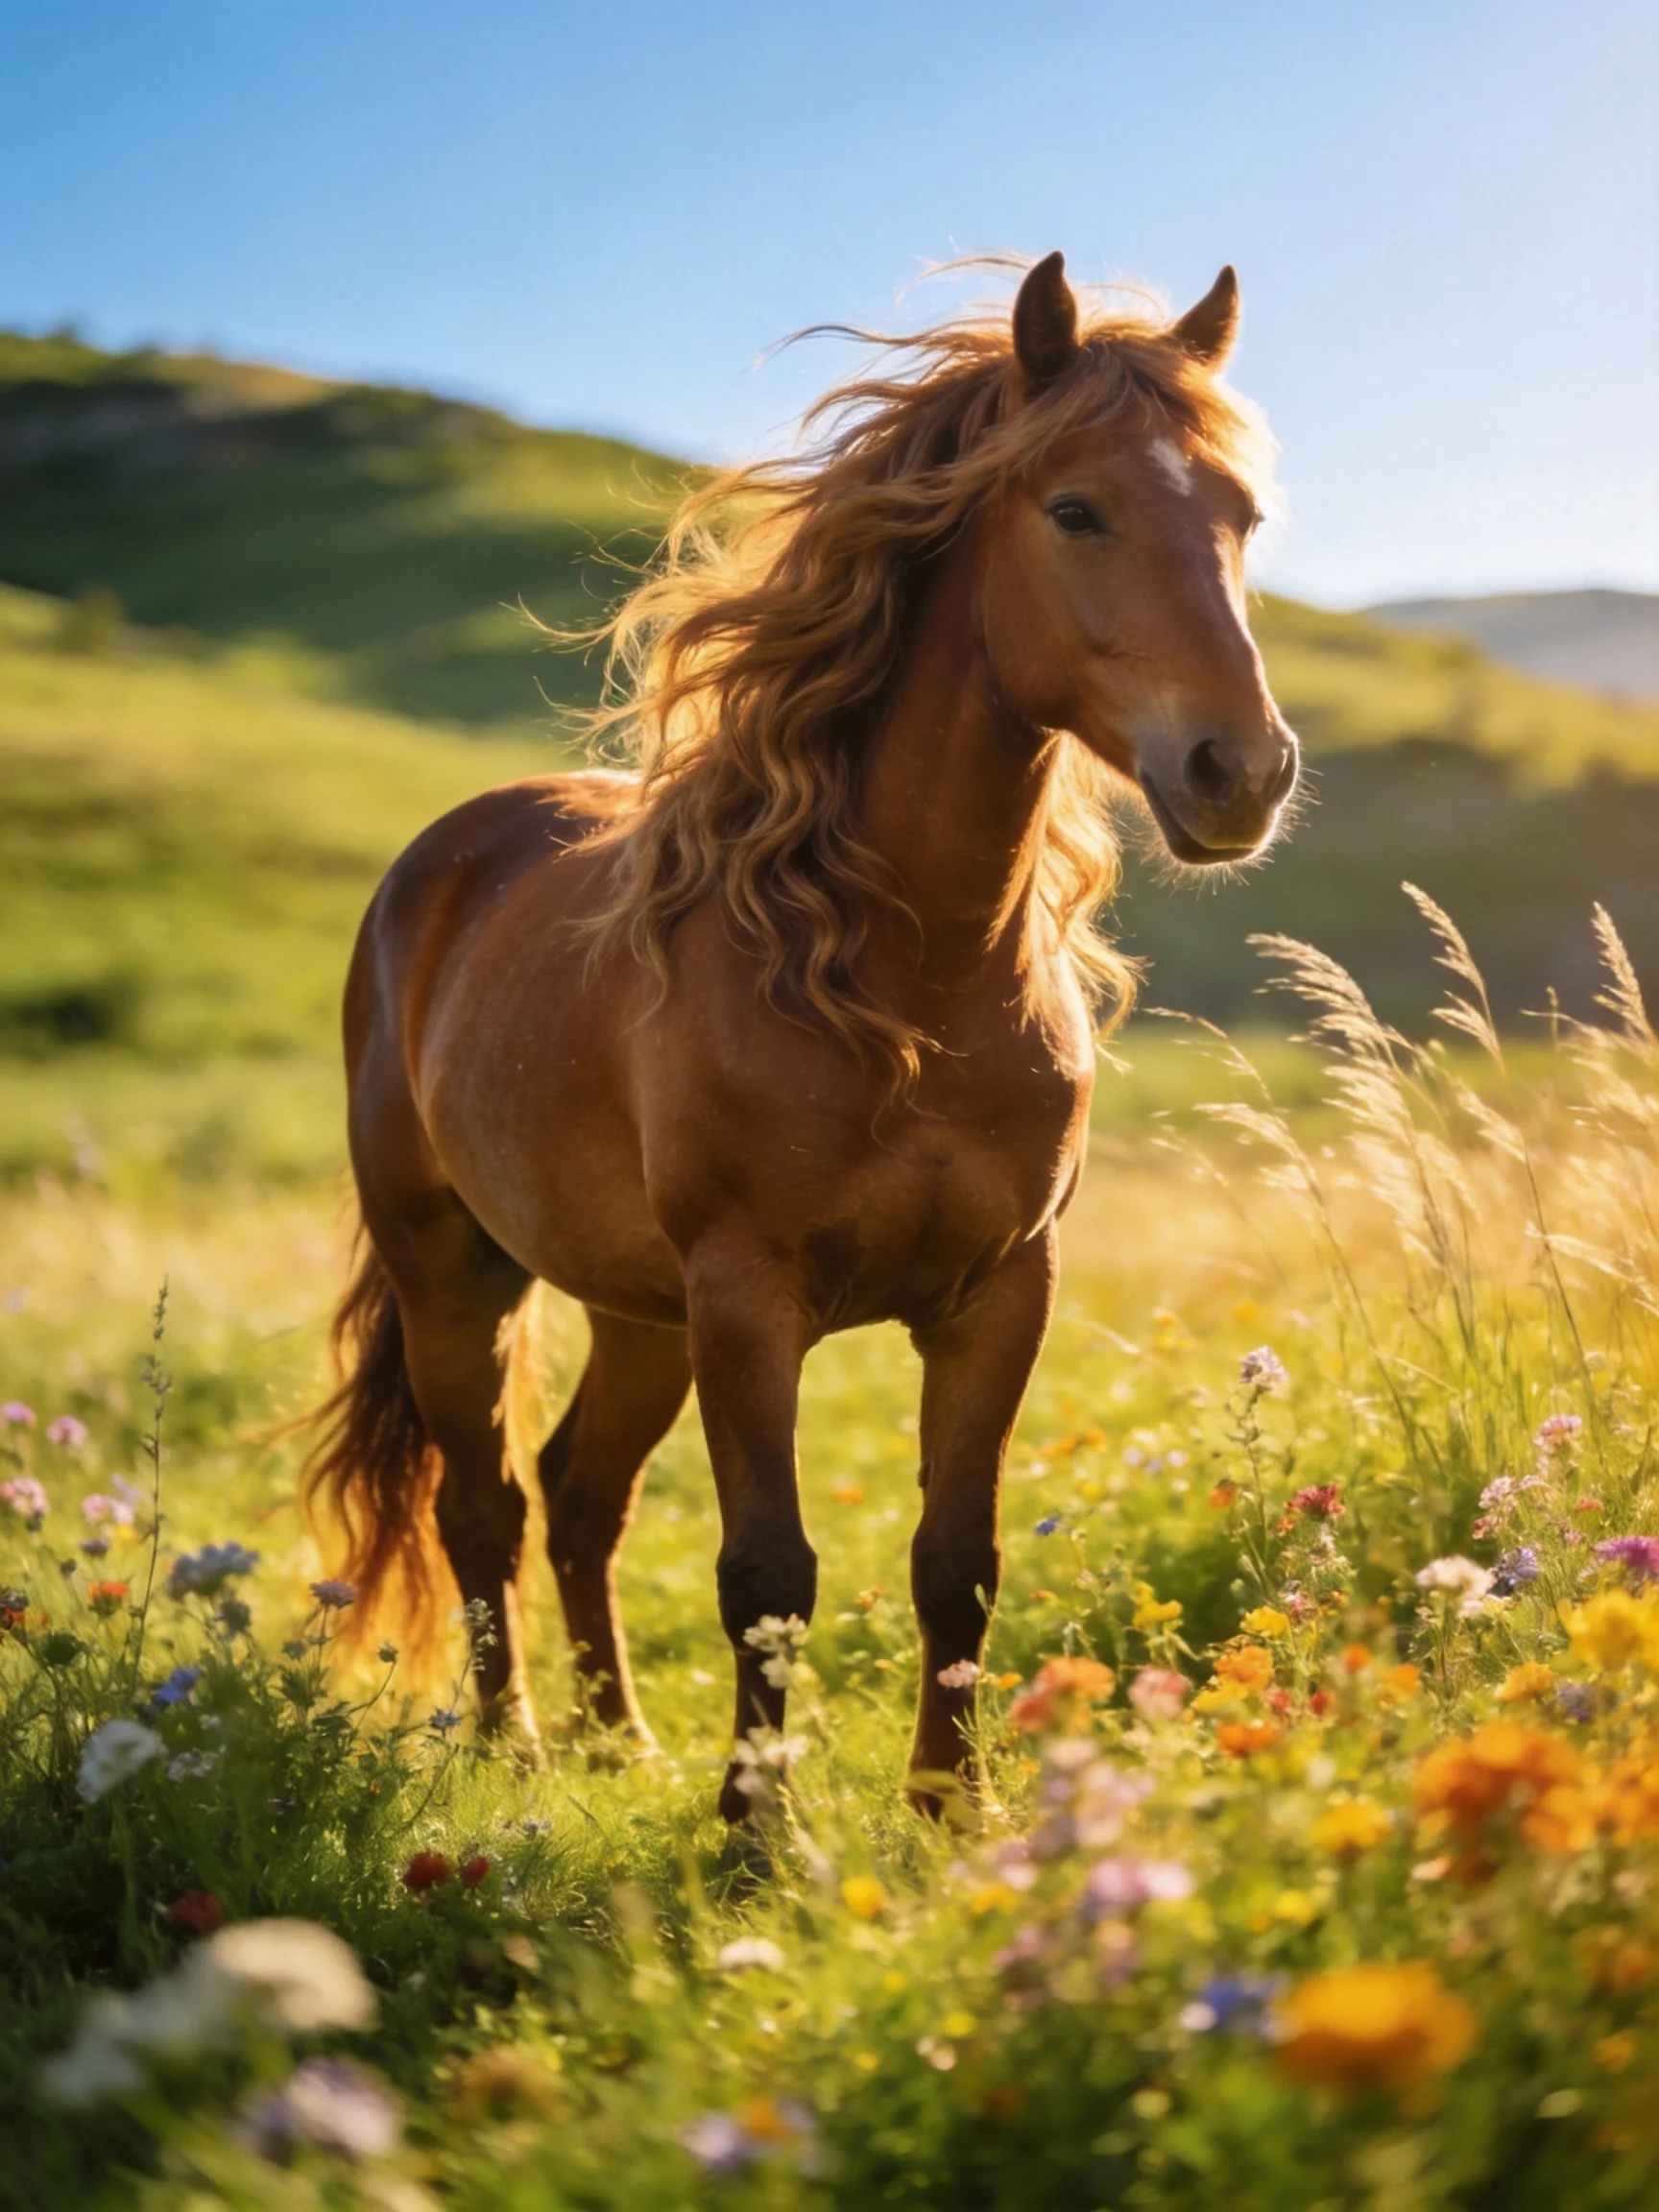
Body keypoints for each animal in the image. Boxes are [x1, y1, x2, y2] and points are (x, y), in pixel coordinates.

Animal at [307, 251, 1297, 1818]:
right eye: (1075, 509)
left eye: (1242, 518)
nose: (1241, 773)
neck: (901, 982)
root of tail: (442, 864)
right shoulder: (749, 1296)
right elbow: (766, 1574)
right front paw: (753, 1834)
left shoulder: (1000, 1292)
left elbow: (958, 1561)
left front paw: (955, 1810)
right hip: (457, 1275)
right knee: (485, 1505)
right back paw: (513, 1748)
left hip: (636, 1310)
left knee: (581, 1494)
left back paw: (620, 1739)